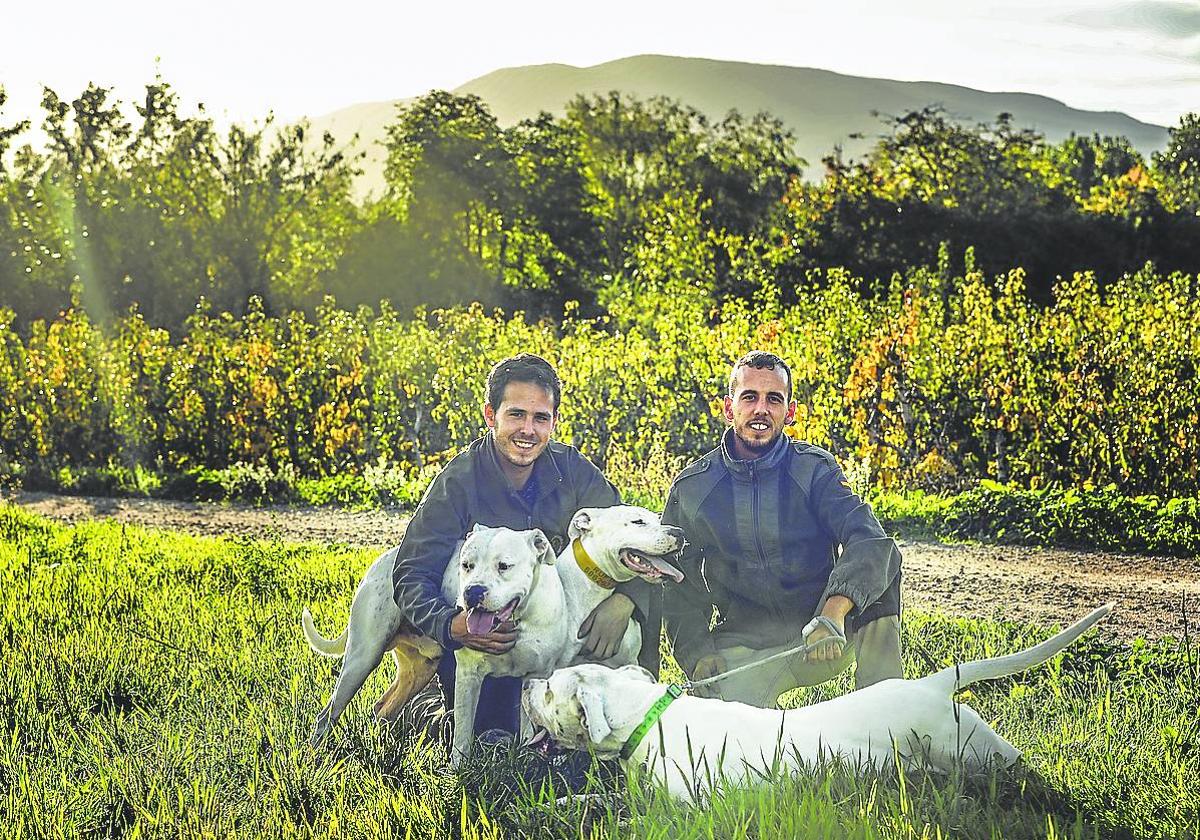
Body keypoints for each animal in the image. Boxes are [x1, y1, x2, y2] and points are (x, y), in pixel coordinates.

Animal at [300, 506, 686, 763]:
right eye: (637, 522)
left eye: (655, 518)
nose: (678, 533)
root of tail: (387, 558)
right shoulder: (483, 675)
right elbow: (467, 734)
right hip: (362, 657)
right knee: (329, 712)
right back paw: (316, 754)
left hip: (419, 667)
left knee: (383, 706)